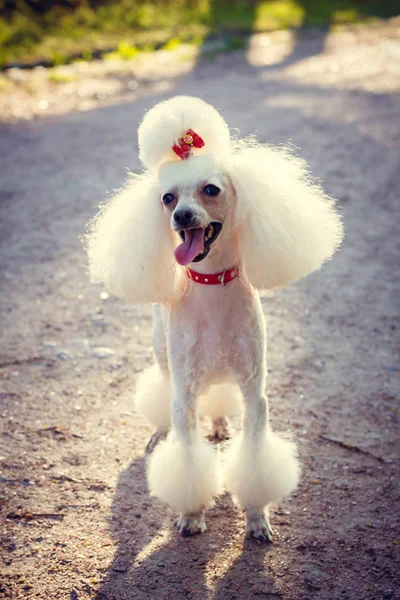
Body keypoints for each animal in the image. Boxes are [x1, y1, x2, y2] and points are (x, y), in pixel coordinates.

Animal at [86, 96, 342, 540]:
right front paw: (191, 514)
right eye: (167, 198)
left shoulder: (255, 392)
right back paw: (160, 432)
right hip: (163, 355)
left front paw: (257, 517)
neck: (211, 287)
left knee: (220, 398)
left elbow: (255, 458)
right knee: (163, 393)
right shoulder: (186, 393)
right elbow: (188, 458)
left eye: (210, 190)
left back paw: (221, 423)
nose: (182, 216)